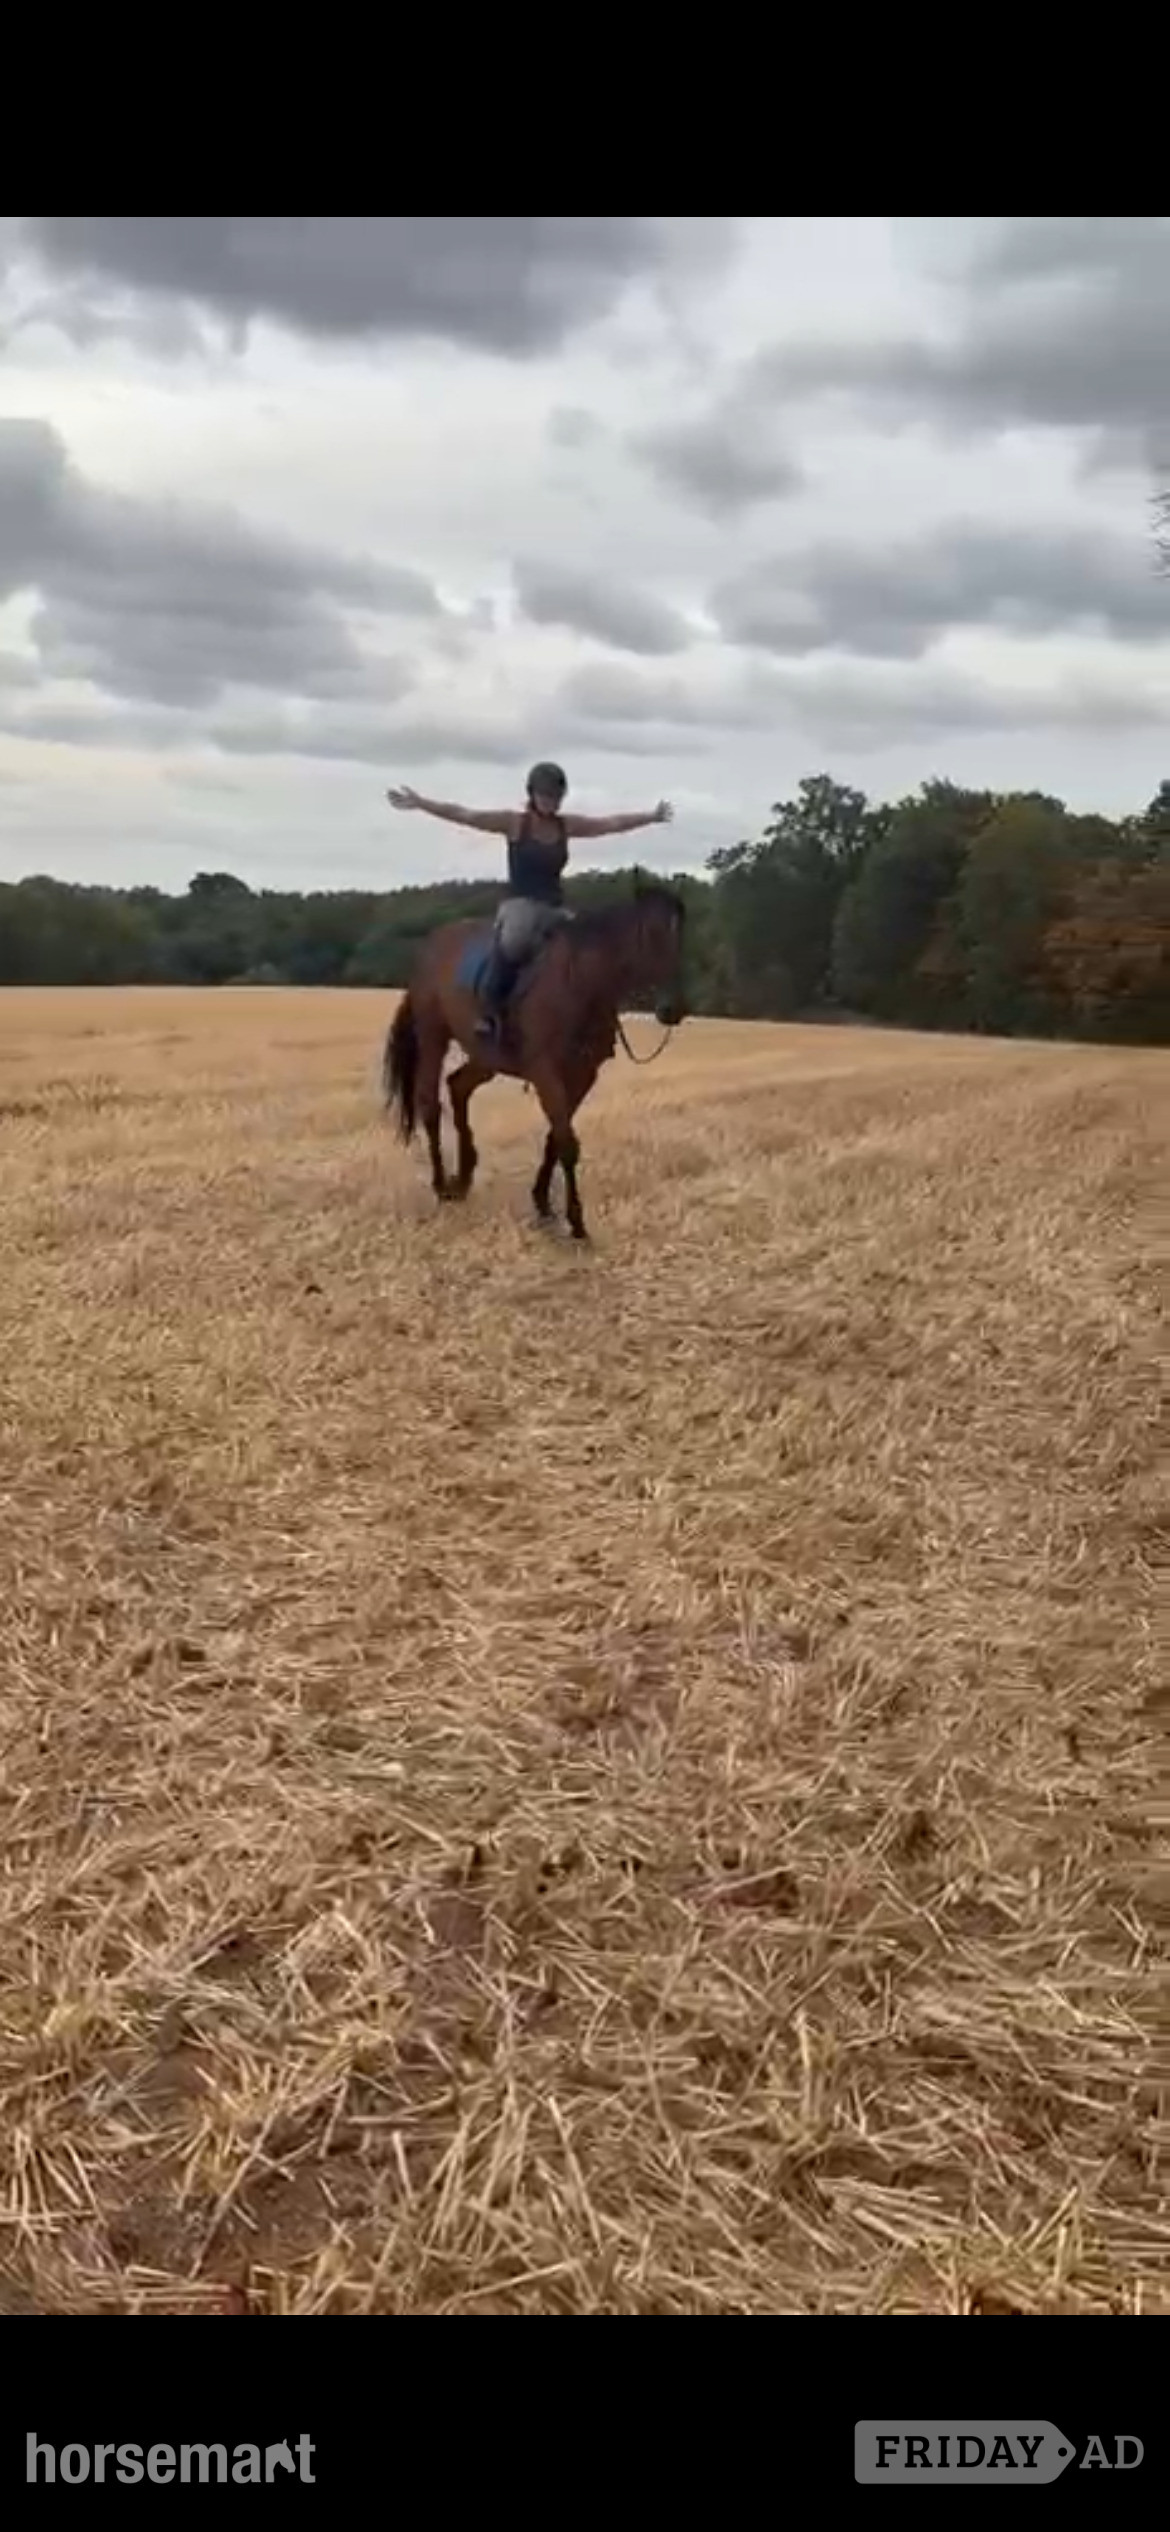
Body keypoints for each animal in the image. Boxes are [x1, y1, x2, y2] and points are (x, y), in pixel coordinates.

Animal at [381, 878, 687, 1241]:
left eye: (682, 936)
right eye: (651, 933)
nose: (673, 1009)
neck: (580, 982)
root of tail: (431, 947)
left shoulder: (583, 1075)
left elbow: (556, 1138)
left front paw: (542, 1203)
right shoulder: (546, 1073)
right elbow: (567, 1143)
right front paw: (576, 1222)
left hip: (486, 1057)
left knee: (458, 1087)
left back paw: (463, 1177)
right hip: (433, 1037)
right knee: (429, 1103)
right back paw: (442, 1185)